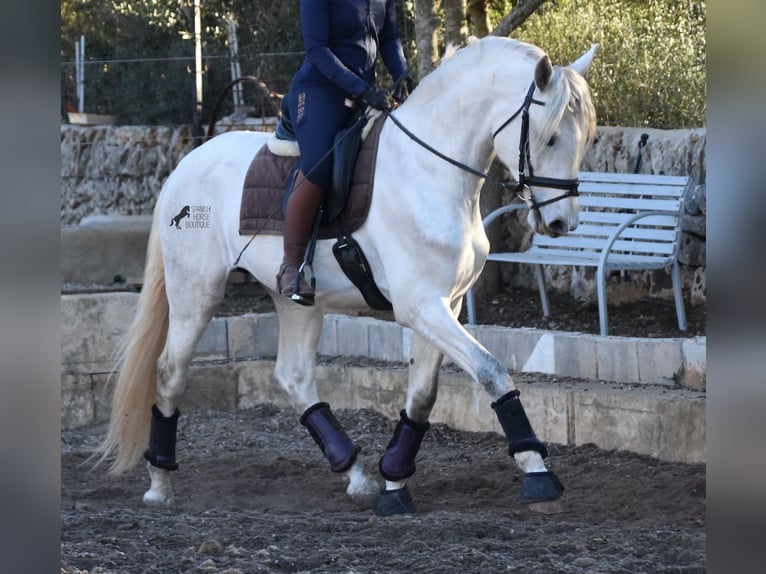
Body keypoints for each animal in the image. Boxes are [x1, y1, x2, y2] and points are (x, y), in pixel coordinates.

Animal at [94, 37, 600, 516]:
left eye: (585, 138)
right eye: (550, 137)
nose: (562, 224)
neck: (429, 172)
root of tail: (187, 163)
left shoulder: (445, 304)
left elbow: (423, 396)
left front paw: (394, 483)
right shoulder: (420, 306)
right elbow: (492, 372)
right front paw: (537, 474)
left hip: (295, 299)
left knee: (294, 376)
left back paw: (357, 476)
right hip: (195, 292)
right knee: (169, 372)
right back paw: (159, 485)